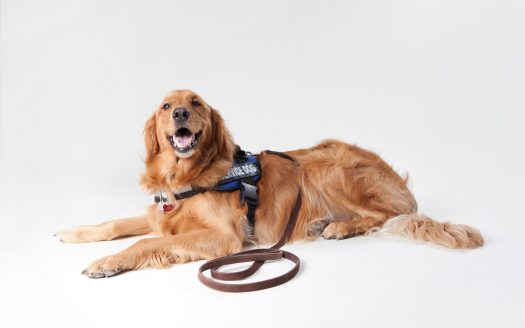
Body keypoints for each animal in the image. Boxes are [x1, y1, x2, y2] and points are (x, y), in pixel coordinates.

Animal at [54, 88, 484, 278]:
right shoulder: (164, 212)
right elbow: (118, 224)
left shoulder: (224, 237)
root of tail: (399, 182)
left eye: (195, 103)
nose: (179, 114)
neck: (189, 175)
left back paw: (336, 226)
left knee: (384, 214)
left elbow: (146, 242)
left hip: (325, 167)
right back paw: (326, 223)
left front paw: (107, 263)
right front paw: (73, 233)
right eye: (165, 106)